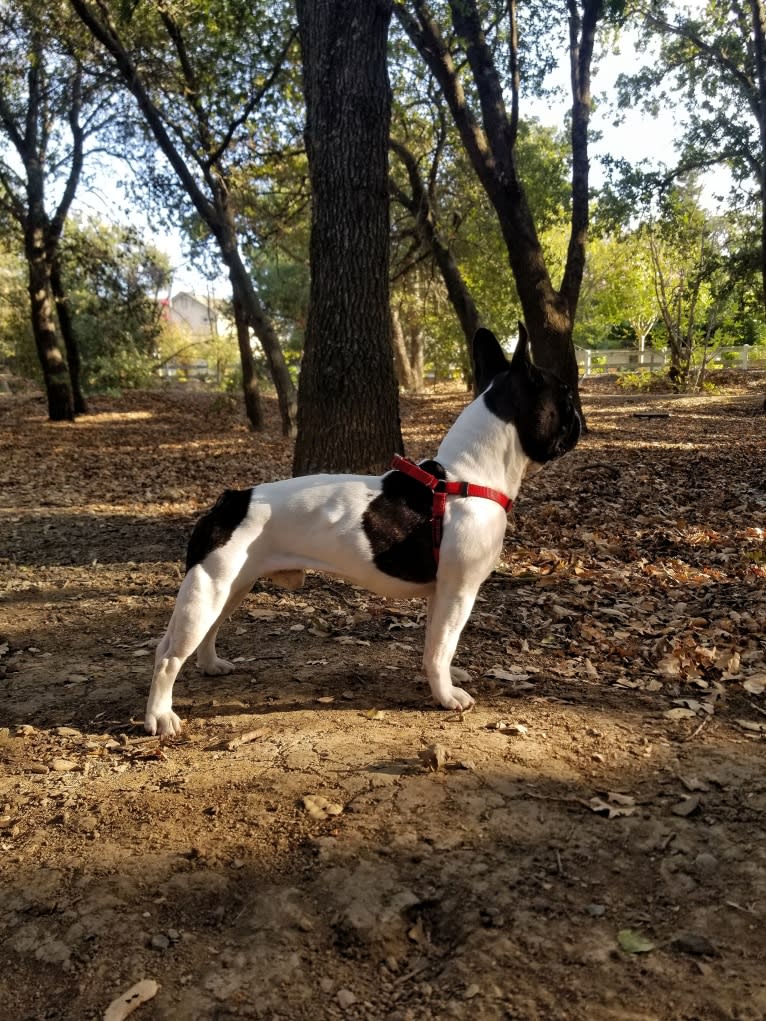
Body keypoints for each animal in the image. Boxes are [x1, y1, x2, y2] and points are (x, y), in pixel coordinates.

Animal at [144, 326, 580, 735]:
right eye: (564, 396)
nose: (579, 417)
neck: (468, 477)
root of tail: (231, 499)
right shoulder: (460, 591)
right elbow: (444, 645)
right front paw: (445, 696)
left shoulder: (441, 594)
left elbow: (436, 644)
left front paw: (446, 677)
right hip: (210, 589)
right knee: (168, 656)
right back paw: (160, 717)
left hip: (232, 586)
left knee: (200, 634)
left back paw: (210, 665)